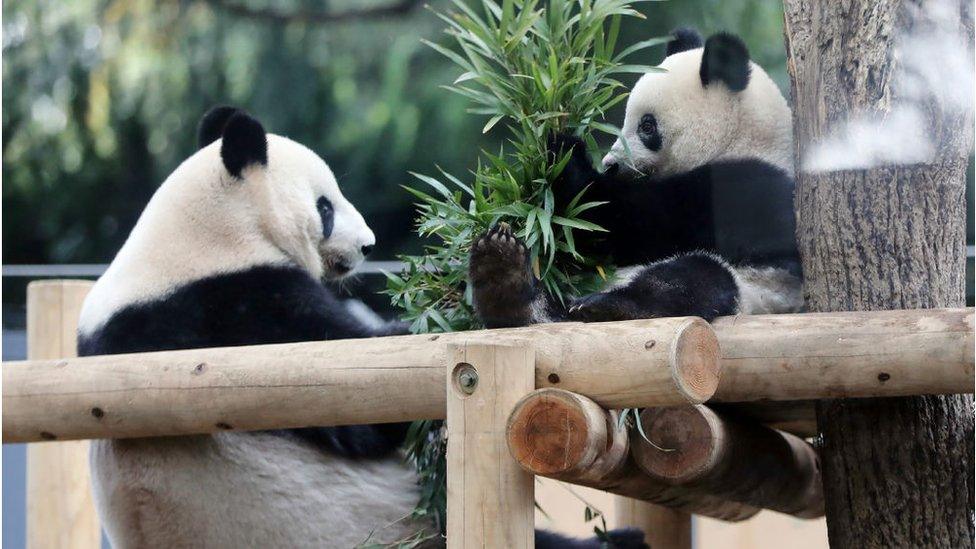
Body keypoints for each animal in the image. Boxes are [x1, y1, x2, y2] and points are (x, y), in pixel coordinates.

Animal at [470, 28, 800, 326]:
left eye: (647, 126)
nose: (610, 164)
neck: (744, 140)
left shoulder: (741, 186)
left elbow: (629, 222)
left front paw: (563, 152)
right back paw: (503, 277)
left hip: (757, 290)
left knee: (691, 278)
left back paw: (607, 306)